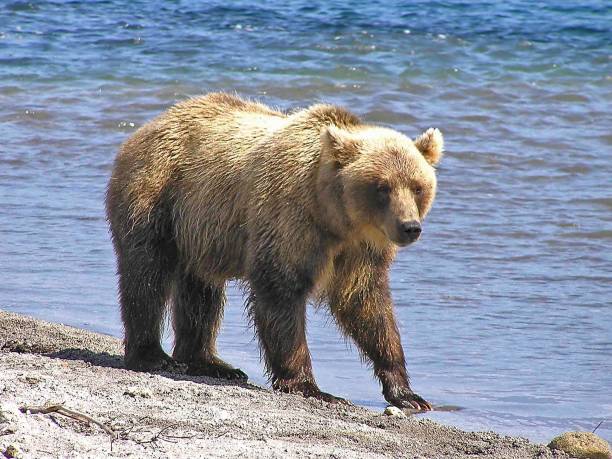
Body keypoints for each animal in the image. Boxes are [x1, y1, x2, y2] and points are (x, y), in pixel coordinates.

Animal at [107, 92, 442, 410]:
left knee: (201, 291)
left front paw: (406, 392)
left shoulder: (360, 251)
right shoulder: (289, 219)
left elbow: (366, 305)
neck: (335, 217)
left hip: (200, 232)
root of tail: (147, 126)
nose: (410, 227)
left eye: (417, 186)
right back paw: (152, 355)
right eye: (382, 187)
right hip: (158, 196)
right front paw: (310, 386)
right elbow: (280, 290)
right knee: (147, 274)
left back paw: (209, 362)